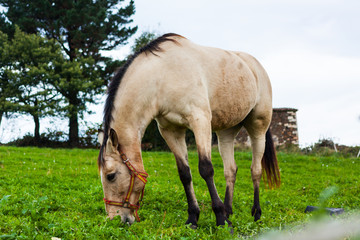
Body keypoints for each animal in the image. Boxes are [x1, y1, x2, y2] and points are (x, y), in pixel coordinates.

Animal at [97, 33, 280, 227]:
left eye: (110, 176)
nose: (115, 218)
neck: (162, 76)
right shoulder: (171, 130)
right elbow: (184, 173)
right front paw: (193, 217)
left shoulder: (200, 121)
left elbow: (206, 169)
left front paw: (220, 218)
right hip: (226, 133)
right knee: (230, 170)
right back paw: (229, 211)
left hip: (258, 128)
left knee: (256, 170)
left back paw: (256, 213)